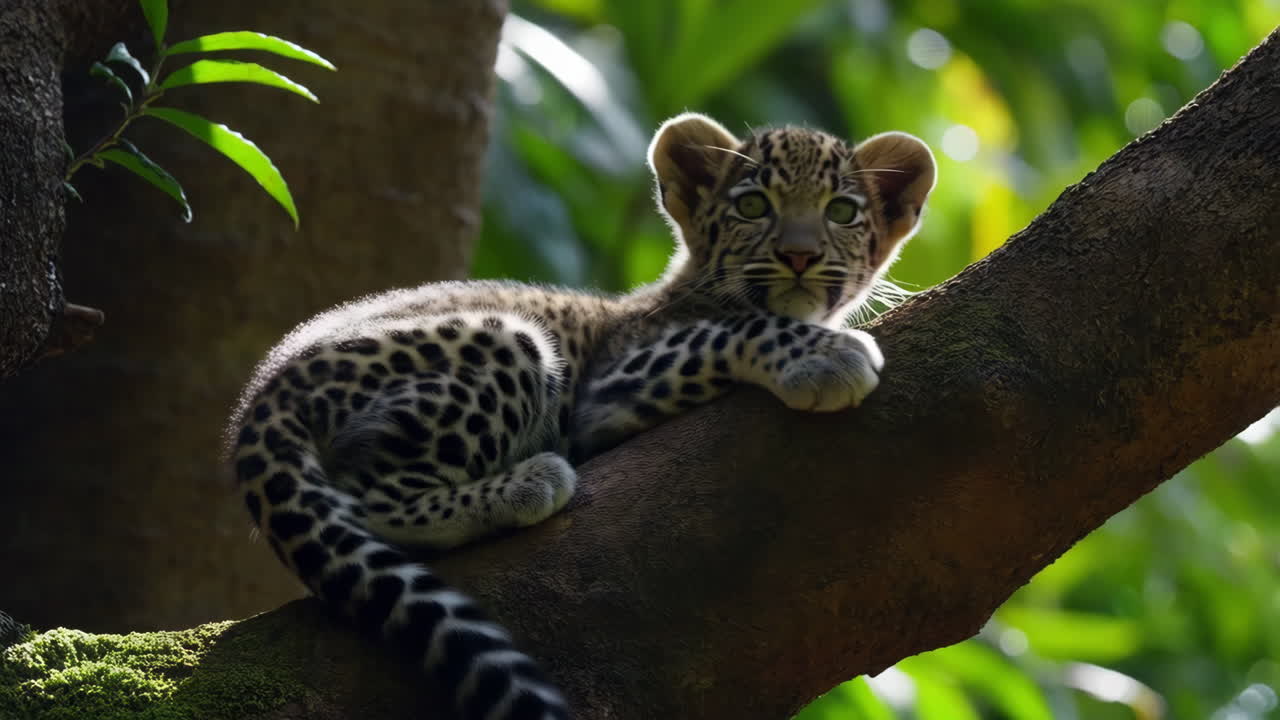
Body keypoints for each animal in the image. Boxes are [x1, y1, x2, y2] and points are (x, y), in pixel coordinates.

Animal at [227, 112, 936, 720]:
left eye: (841, 211)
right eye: (753, 206)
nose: (799, 255)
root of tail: (259, 397)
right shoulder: (614, 387)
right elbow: (728, 333)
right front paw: (824, 355)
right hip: (509, 343)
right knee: (371, 496)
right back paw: (528, 483)